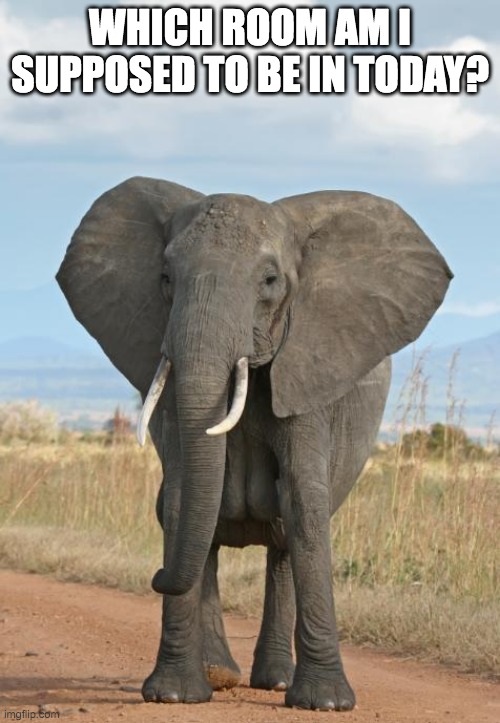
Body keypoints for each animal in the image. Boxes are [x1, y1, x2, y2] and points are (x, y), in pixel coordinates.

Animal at [57, 177, 452, 711]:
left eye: (269, 280)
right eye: (165, 277)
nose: (155, 577)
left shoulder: (309, 366)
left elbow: (304, 501)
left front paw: (325, 703)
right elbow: (181, 498)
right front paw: (173, 695)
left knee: (284, 536)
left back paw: (276, 682)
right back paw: (219, 674)